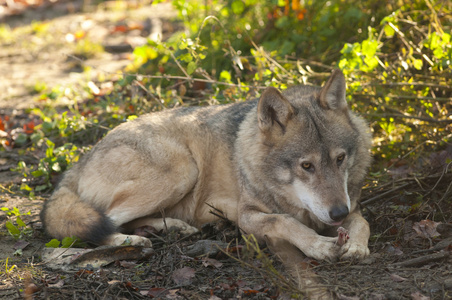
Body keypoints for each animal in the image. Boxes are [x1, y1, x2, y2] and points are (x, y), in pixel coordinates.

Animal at [40, 69, 370, 262]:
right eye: (307, 166)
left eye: (340, 159)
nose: (337, 213)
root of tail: (82, 157)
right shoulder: (247, 216)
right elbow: (286, 222)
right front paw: (320, 246)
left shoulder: (351, 205)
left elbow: (362, 222)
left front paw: (356, 246)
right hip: (182, 169)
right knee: (102, 221)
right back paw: (131, 241)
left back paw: (175, 227)